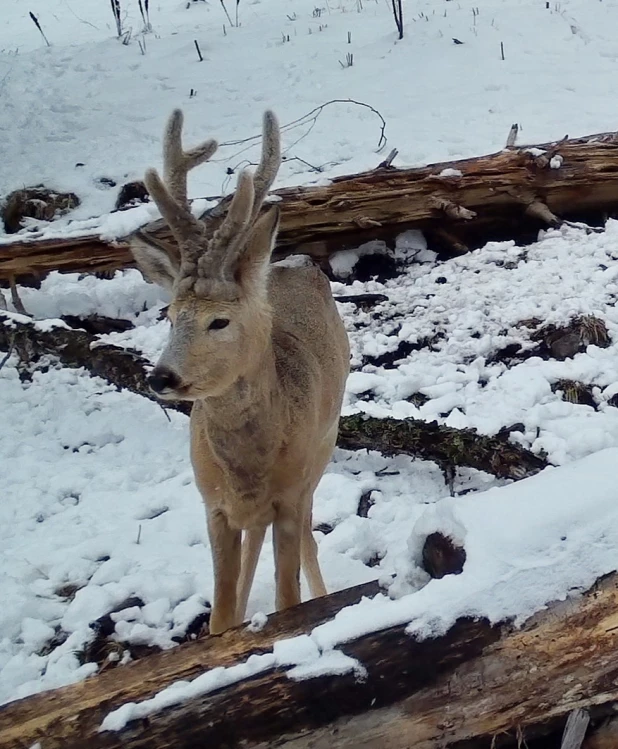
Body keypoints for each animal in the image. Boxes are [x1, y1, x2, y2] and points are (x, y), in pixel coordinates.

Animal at [130, 108, 348, 636]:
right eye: (169, 315)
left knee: (308, 537)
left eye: (219, 321)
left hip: (324, 448)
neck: (248, 468)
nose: (161, 377)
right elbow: (220, 614)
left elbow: (289, 600)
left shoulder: (291, 492)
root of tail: (290, 264)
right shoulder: (213, 505)